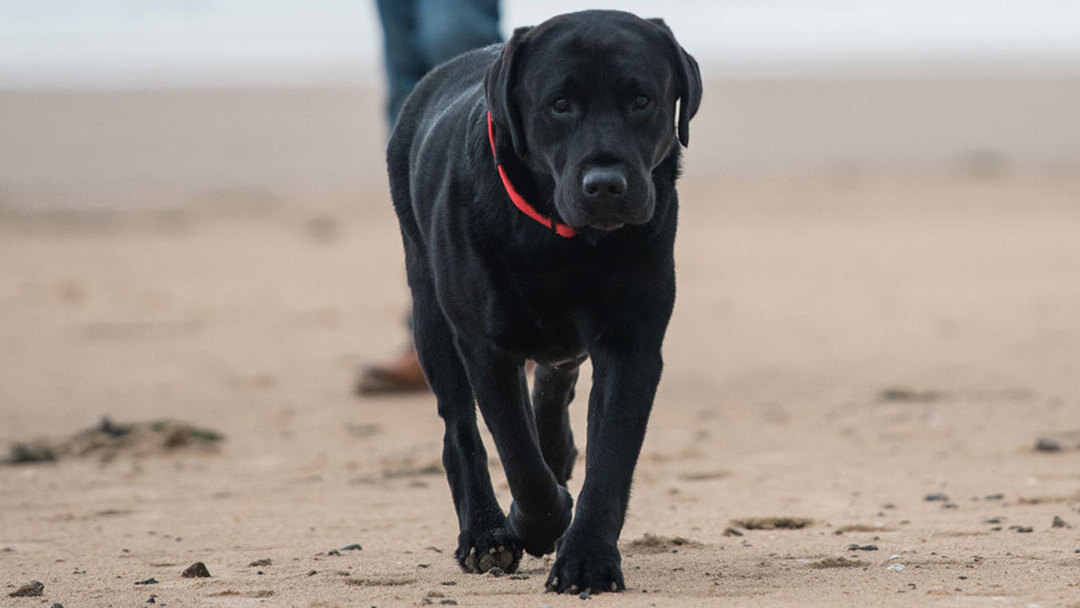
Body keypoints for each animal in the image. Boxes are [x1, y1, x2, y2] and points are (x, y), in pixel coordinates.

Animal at [388, 8, 699, 596]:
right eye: (559, 104)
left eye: (641, 99)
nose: (606, 184)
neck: (562, 245)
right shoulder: (485, 346)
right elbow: (518, 456)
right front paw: (536, 520)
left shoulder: (632, 343)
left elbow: (610, 458)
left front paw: (587, 559)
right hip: (431, 316)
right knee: (461, 432)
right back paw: (485, 532)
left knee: (554, 389)